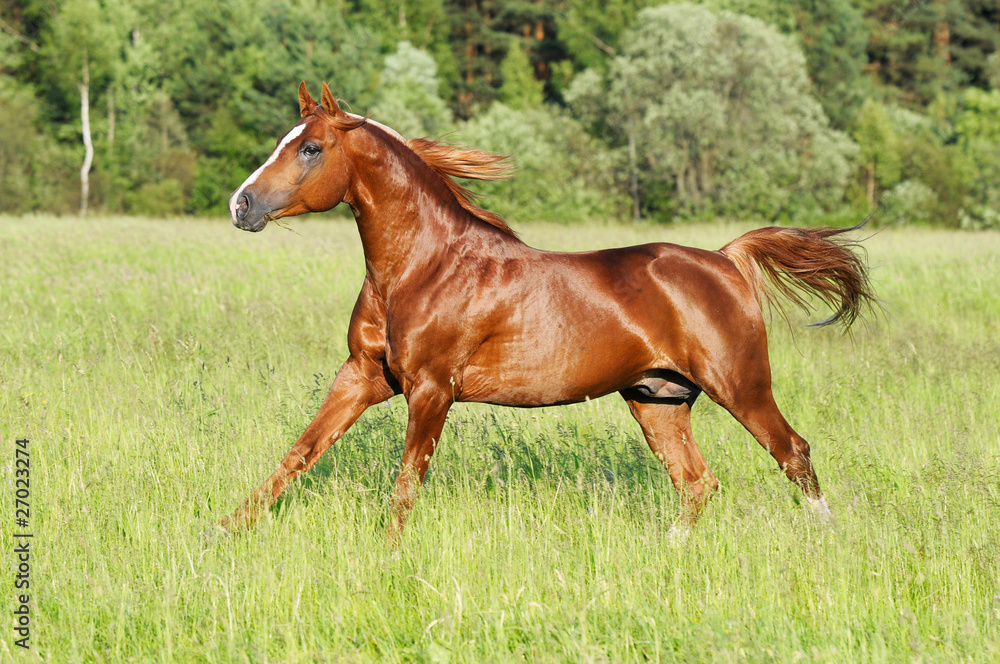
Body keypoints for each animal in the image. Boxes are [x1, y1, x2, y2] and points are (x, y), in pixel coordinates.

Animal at [225, 83, 876, 544]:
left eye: (311, 148)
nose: (241, 204)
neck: (421, 267)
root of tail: (725, 260)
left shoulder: (431, 389)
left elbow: (407, 481)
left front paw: (389, 555)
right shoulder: (363, 375)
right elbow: (299, 452)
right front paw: (223, 531)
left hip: (740, 385)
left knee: (793, 453)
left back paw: (831, 543)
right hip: (658, 398)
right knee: (697, 482)